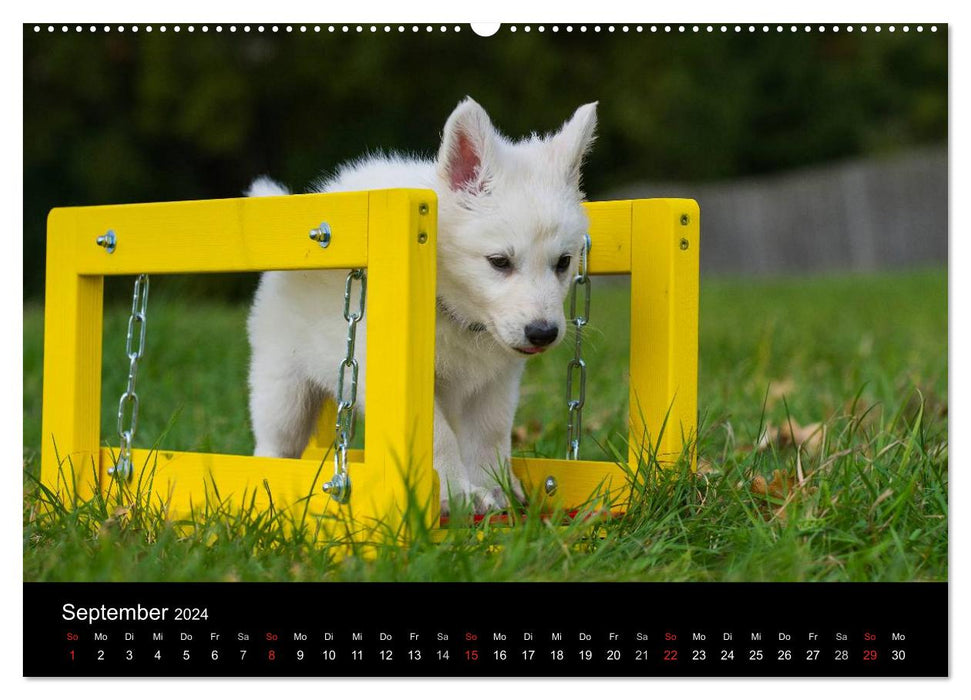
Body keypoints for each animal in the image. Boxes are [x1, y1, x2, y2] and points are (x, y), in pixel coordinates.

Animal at [247, 97, 596, 516]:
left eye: (563, 262)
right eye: (499, 262)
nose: (543, 333)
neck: (455, 313)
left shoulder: (495, 382)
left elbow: (491, 433)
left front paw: (496, 488)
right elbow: (438, 435)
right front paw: (456, 493)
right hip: (283, 386)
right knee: (273, 440)